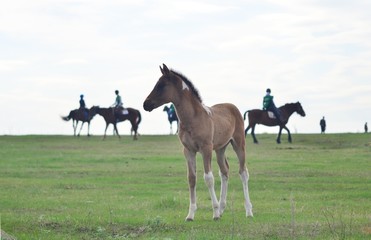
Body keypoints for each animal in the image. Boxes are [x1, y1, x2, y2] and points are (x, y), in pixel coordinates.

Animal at [142, 64, 253, 221]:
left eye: (161, 85)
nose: (146, 104)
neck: (192, 118)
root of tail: (233, 106)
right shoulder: (188, 150)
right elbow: (191, 178)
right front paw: (191, 214)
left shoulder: (206, 149)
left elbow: (208, 178)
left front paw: (214, 212)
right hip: (220, 148)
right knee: (224, 171)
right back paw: (222, 208)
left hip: (238, 144)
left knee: (243, 173)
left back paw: (248, 211)